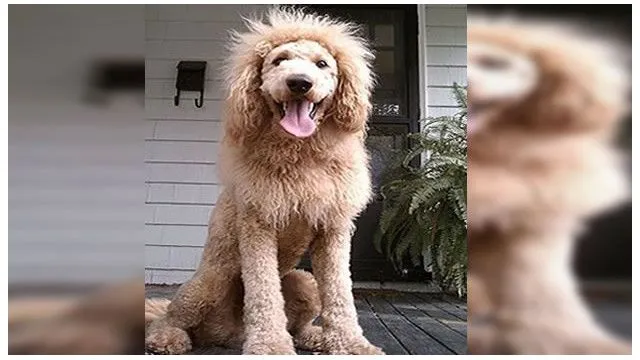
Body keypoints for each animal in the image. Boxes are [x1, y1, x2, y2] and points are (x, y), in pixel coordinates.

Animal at [145, 7, 382, 354]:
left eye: (322, 64)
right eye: (279, 60)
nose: (299, 83)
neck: (300, 155)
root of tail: (231, 333)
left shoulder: (333, 230)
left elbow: (340, 293)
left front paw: (352, 344)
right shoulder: (258, 225)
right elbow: (264, 293)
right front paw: (271, 345)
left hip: (304, 280)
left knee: (299, 319)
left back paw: (312, 335)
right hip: (209, 281)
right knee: (170, 314)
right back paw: (167, 338)